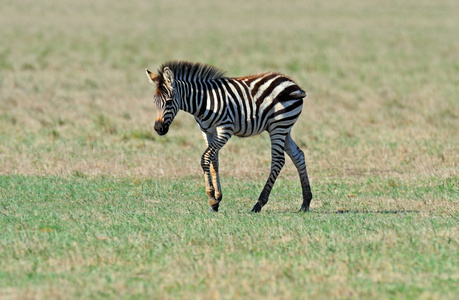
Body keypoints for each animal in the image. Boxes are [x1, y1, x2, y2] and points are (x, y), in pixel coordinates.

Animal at [146, 60, 314, 211]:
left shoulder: (225, 129)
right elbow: (214, 161)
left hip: (278, 126)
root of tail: (293, 83)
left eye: (169, 101)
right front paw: (217, 199)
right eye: (154, 102)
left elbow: (205, 158)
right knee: (298, 155)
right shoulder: (207, 131)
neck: (204, 102)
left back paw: (259, 204)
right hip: (284, 128)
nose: (158, 128)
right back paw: (305, 203)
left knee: (278, 161)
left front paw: (211, 198)